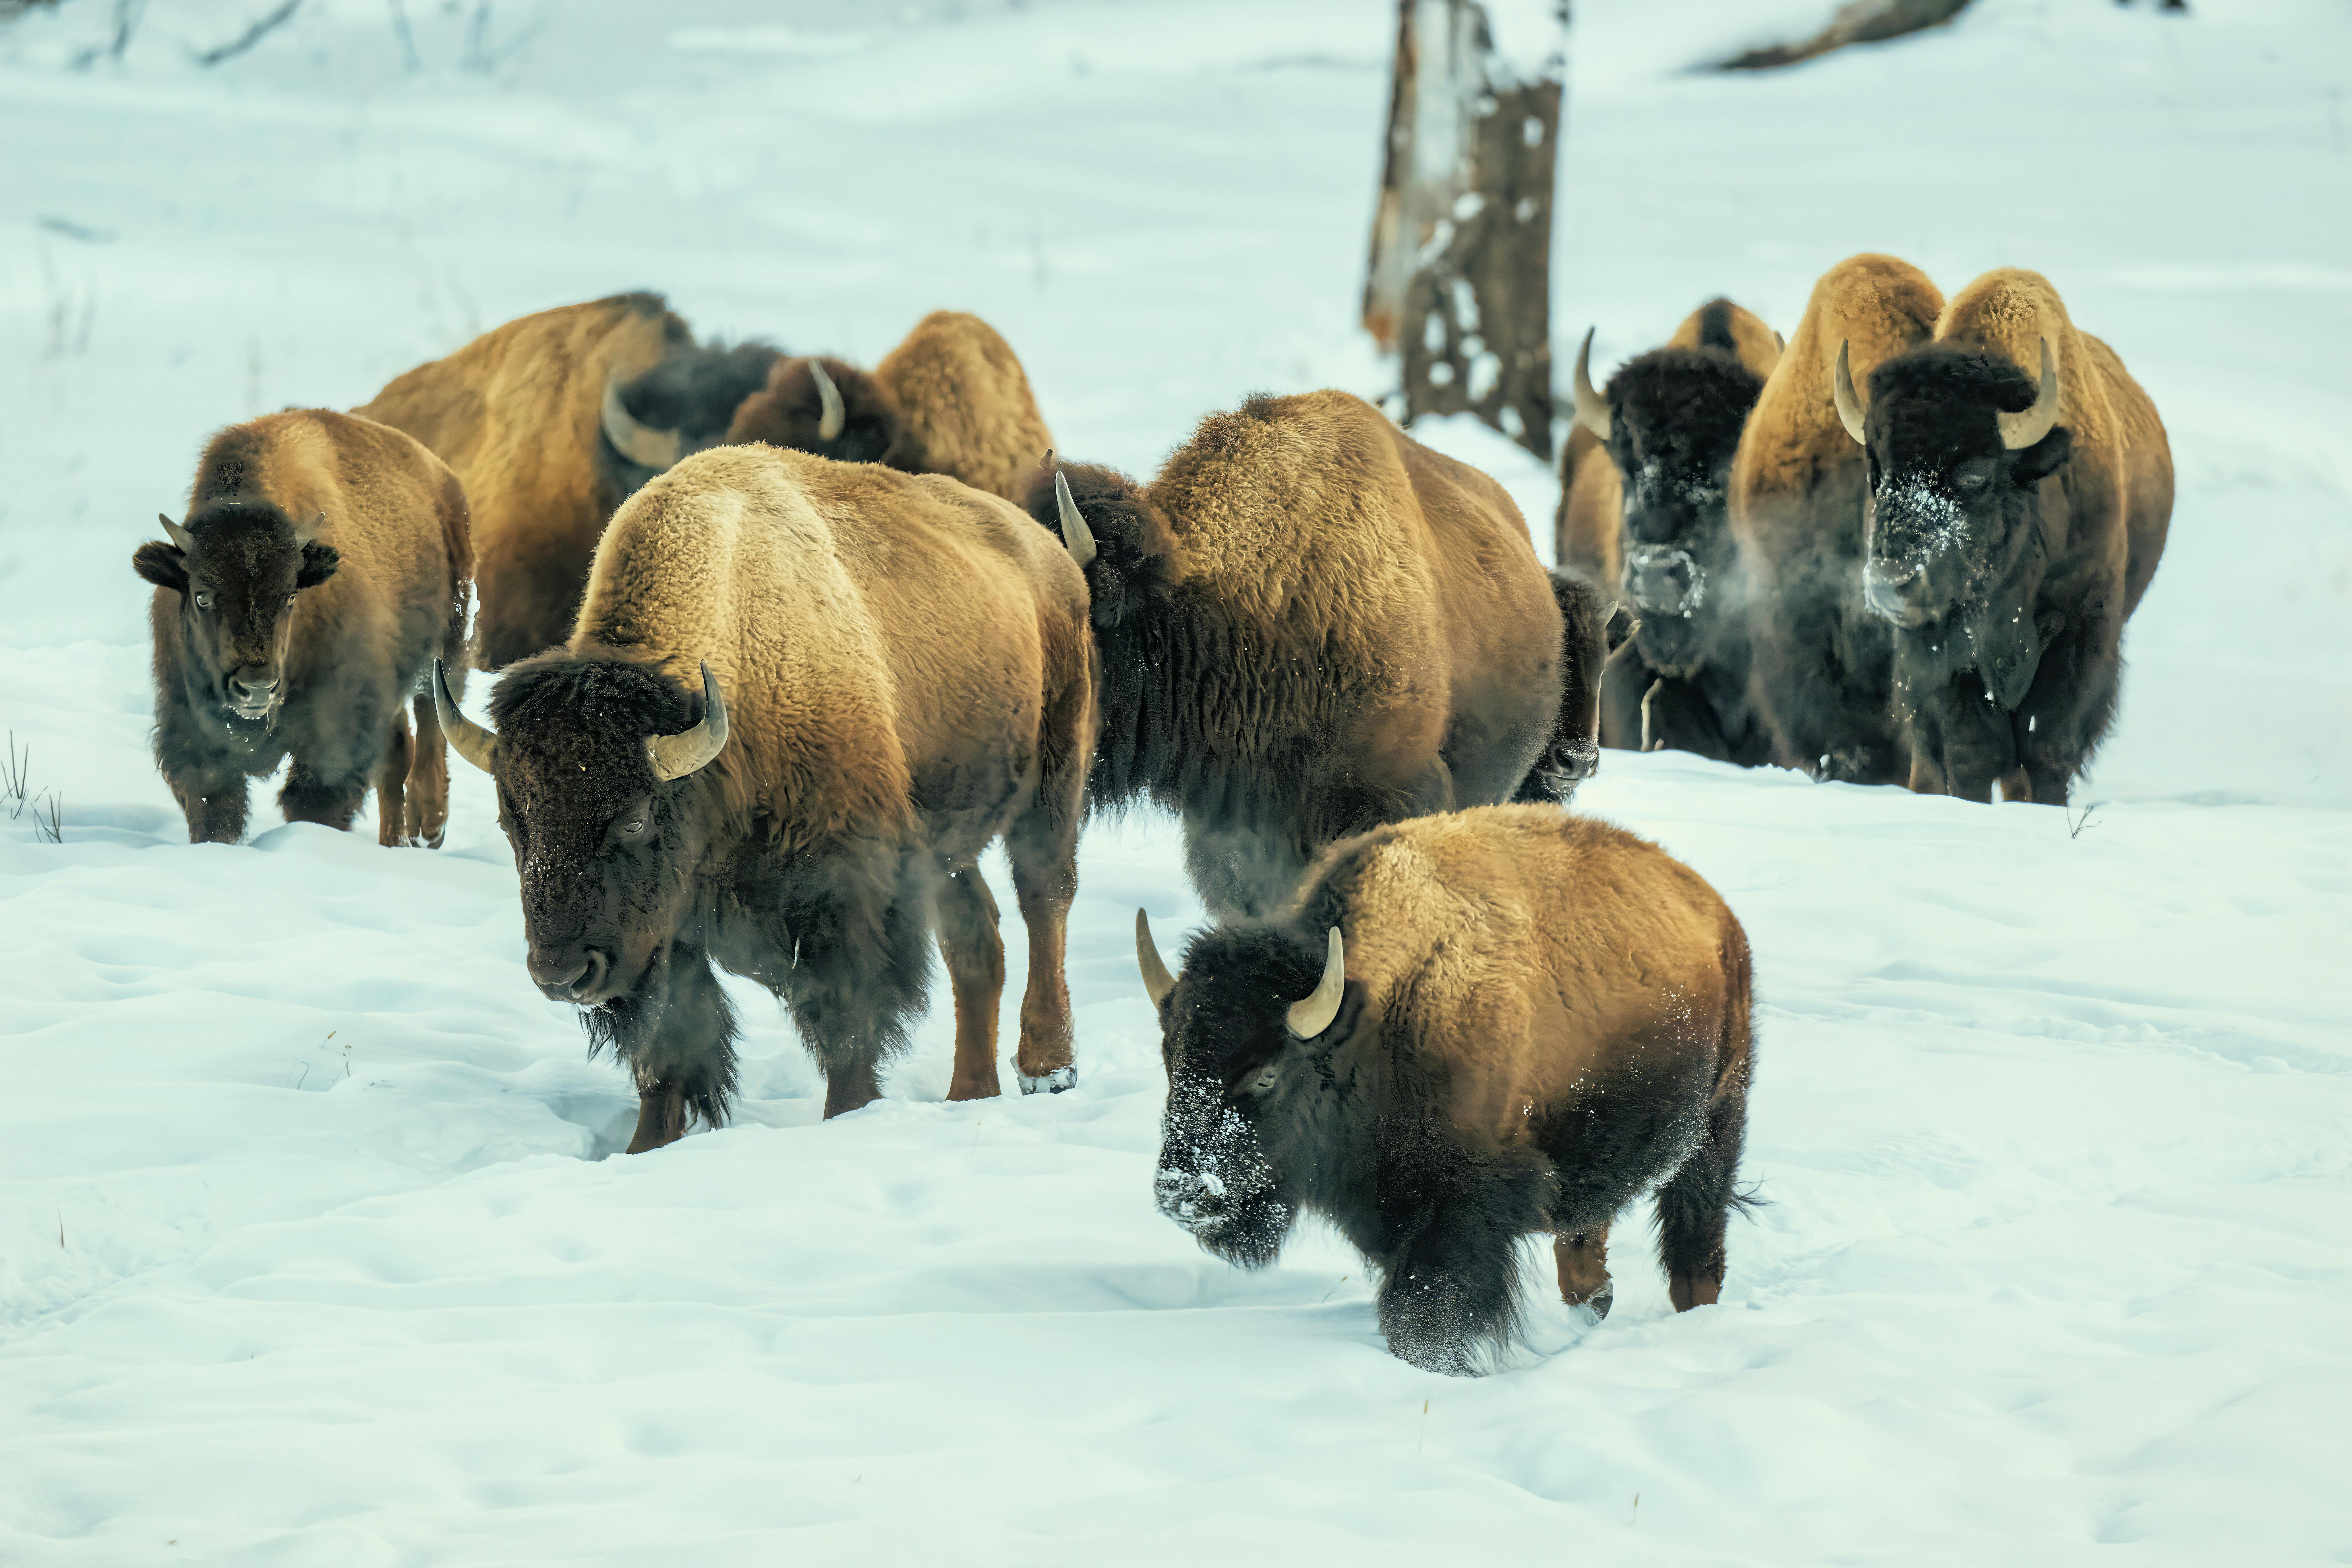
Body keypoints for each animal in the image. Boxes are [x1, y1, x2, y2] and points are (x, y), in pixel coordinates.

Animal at [134, 410, 471, 846]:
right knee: (398, 753)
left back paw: (429, 825)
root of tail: (443, 477)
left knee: (432, 718)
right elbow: (216, 812)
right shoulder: (192, 734)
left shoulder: (337, 731)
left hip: (450, 645)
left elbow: (314, 801)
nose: (257, 688)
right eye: (202, 596)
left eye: (291, 596)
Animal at [434, 444, 1095, 1151]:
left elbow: (846, 1026)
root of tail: (1049, 553)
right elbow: (669, 1051)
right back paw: (969, 1092)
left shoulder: (841, 894)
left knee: (1044, 901)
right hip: (945, 840)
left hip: (1054, 779)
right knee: (977, 938)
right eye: (512, 822)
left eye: (635, 820)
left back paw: (1047, 1070)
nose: (562, 975)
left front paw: (848, 1117)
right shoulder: (668, 936)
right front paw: (644, 1150)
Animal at [1137, 804, 1755, 1374]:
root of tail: (1720, 919)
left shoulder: (1457, 1211)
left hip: (1715, 1129)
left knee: (1694, 1246)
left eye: (1267, 1073)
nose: (1180, 1193)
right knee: (1584, 1246)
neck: (1375, 1017)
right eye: (1171, 1060)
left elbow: (1427, 1312)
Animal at [1834, 267, 2173, 801]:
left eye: (1975, 474)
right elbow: (1971, 749)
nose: (1890, 584)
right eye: (1877, 472)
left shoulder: (2082, 628)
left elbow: (2048, 745)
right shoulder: (1946, 647)